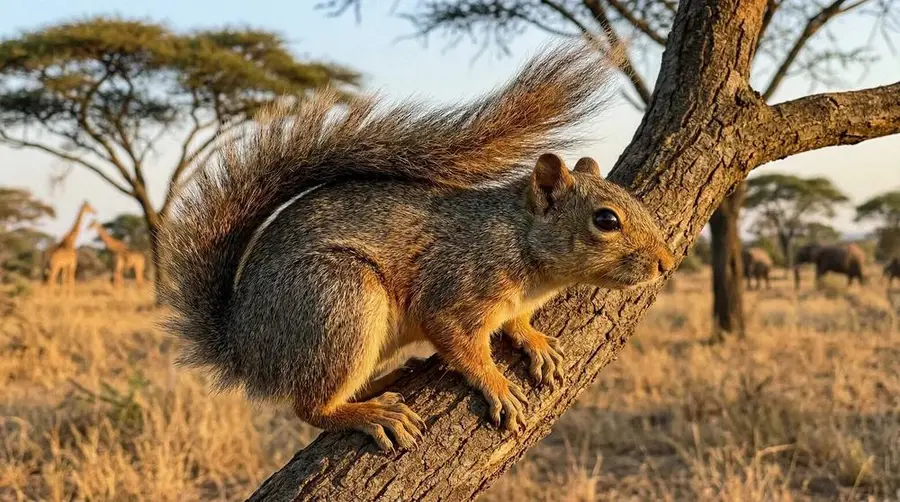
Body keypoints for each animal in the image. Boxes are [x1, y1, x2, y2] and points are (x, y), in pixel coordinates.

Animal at [160, 43, 676, 451]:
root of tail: (242, 346)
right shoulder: (457, 289)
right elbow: (459, 340)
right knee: (310, 408)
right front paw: (496, 383)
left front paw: (532, 339)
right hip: (337, 300)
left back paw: (388, 380)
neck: (522, 241)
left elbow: (515, 323)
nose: (667, 263)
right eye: (606, 220)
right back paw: (369, 412)